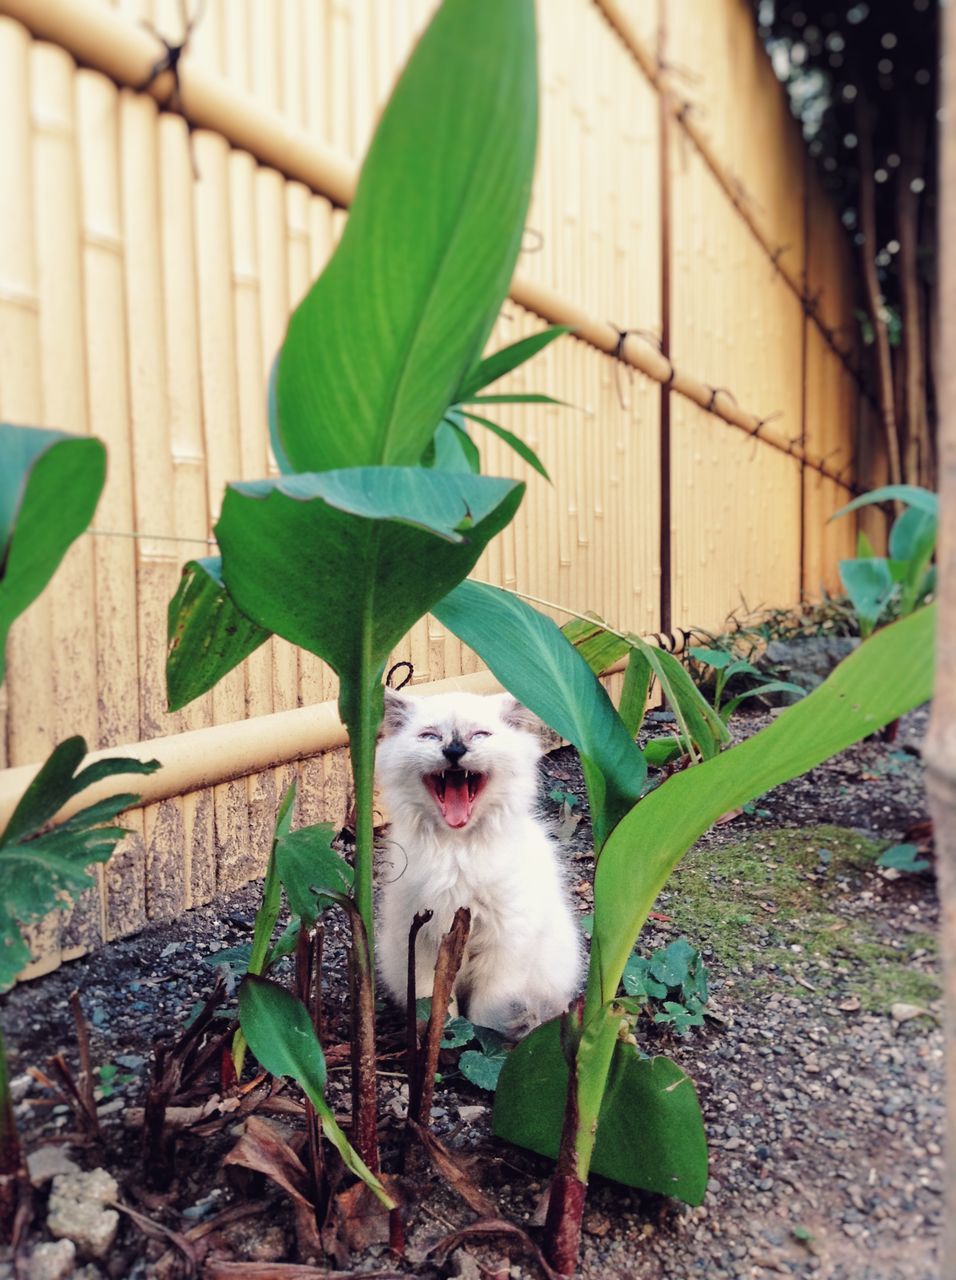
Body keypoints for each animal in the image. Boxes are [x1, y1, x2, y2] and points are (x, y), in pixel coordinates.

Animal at [376, 691, 583, 1039]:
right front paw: (441, 1038)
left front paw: (482, 1040)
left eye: (480, 735)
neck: (457, 851)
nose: (454, 751)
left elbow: (488, 1012)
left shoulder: (506, 943)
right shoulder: (423, 942)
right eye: (430, 736)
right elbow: (436, 1006)